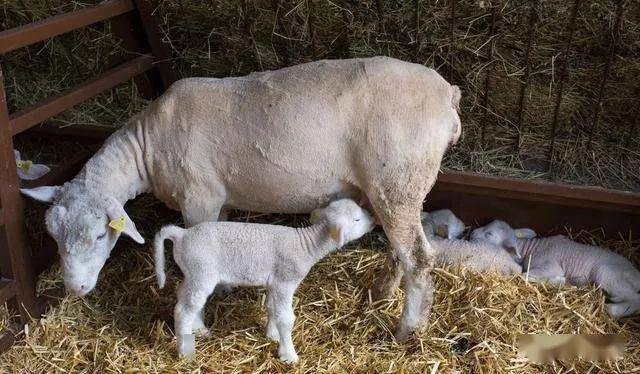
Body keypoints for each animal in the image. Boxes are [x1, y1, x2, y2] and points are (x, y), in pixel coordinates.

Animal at [20, 56, 460, 338]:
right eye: (53, 237)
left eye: (99, 235)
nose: (74, 289)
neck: (147, 145)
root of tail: (447, 94)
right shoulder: (221, 200)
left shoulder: (199, 198)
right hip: (395, 188)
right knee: (400, 250)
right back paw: (382, 292)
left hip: (398, 178)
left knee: (419, 258)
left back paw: (407, 328)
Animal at [154, 199, 376, 362]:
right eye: (357, 220)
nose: (374, 219)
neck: (306, 245)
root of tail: (183, 234)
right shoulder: (285, 282)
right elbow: (286, 319)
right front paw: (289, 355)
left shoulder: (274, 283)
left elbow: (271, 308)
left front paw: (272, 334)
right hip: (201, 272)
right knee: (183, 310)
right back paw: (185, 351)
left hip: (193, 274)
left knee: (184, 297)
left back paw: (198, 328)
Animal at [470, 221, 640, 318]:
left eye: (489, 234)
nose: (471, 233)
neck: (530, 249)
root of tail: (636, 273)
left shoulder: (549, 266)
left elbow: (526, 276)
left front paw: (560, 281)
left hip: (608, 274)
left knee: (635, 299)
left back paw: (612, 309)